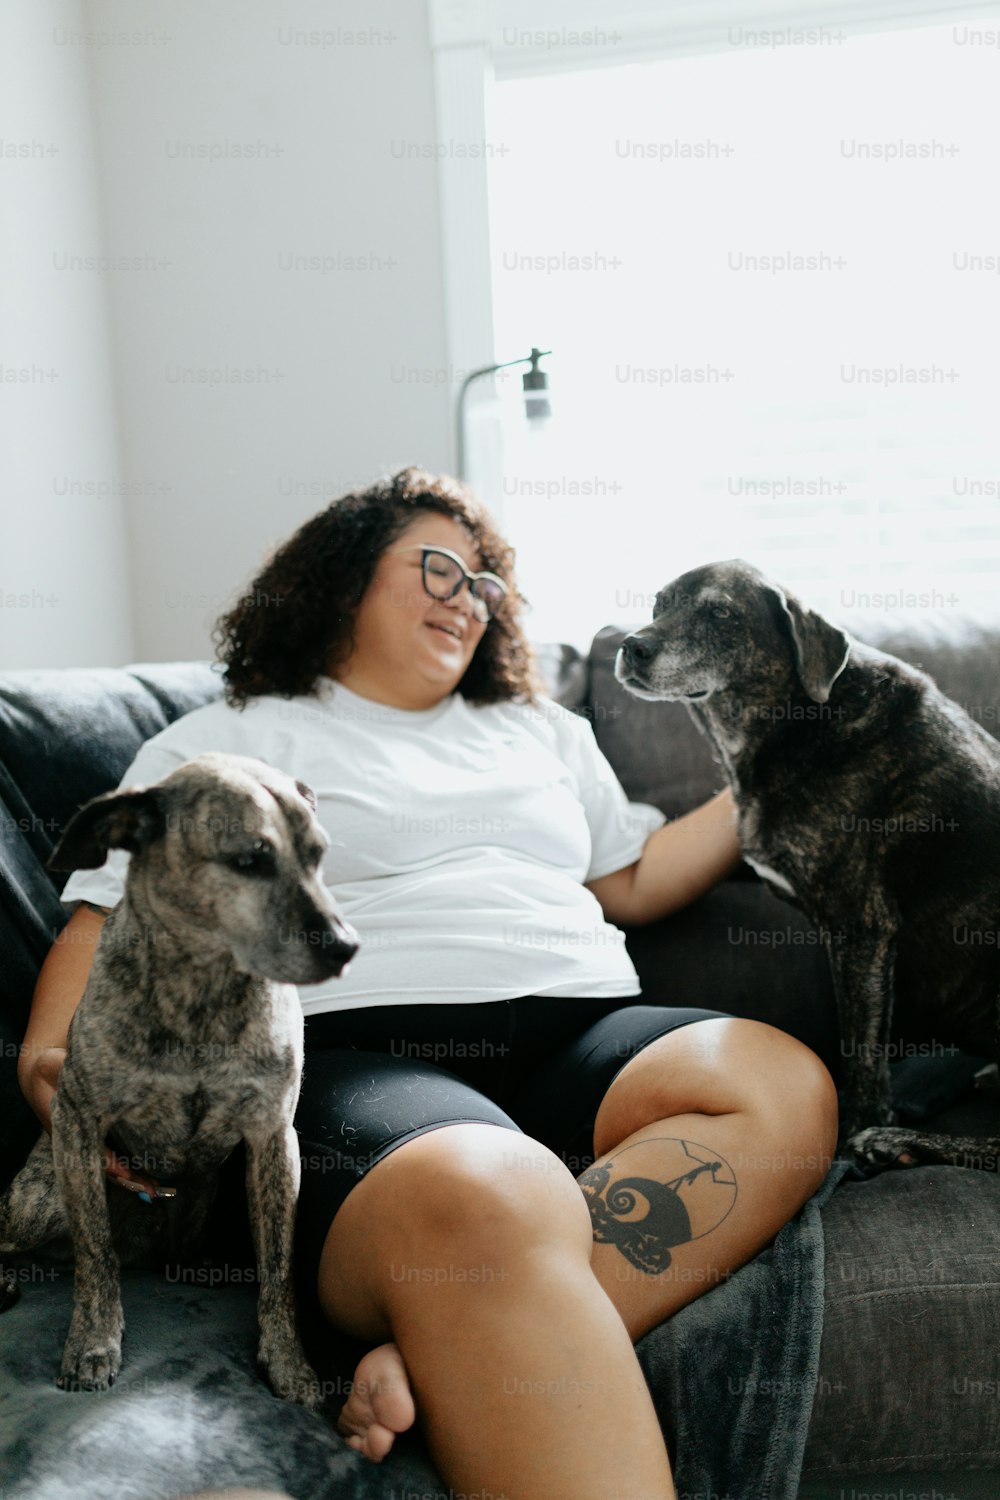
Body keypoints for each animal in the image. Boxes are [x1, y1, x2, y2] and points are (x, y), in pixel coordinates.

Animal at [0, 756, 359, 1398]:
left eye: (318, 855)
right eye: (250, 860)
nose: (347, 945)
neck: (203, 988)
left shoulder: (273, 1139)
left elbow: (278, 1267)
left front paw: (289, 1363)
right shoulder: (78, 1122)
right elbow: (96, 1255)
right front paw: (93, 1344)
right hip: (41, 1202)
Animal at [614, 561, 1000, 1170]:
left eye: (720, 612)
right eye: (659, 604)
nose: (631, 646)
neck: (797, 721)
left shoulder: (861, 929)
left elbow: (861, 1055)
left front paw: (856, 1135)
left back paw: (898, 1143)